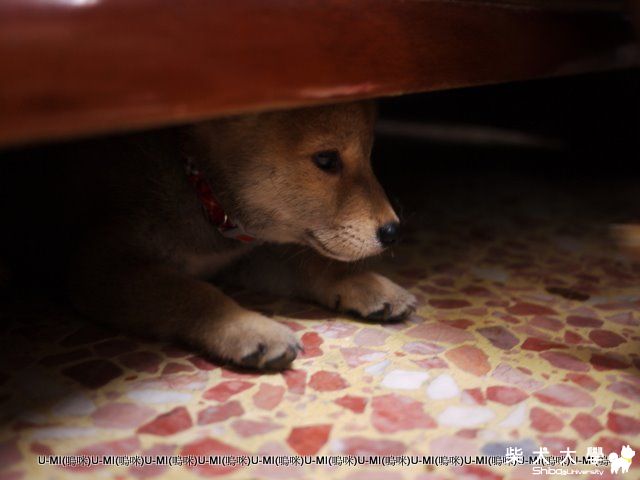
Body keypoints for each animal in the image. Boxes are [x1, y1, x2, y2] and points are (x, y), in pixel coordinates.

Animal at [0, 101, 416, 370]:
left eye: (370, 154)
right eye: (326, 160)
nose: (393, 230)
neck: (202, 193)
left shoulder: (241, 256)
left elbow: (314, 265)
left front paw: (368, 285)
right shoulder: (103, 265)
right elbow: (190, 291)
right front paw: (247, 326)